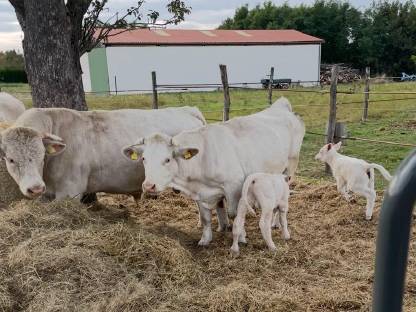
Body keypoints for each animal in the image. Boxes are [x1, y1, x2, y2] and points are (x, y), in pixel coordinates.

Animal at [123, 97, 306, 246]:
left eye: (167, 159)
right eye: (144, 158)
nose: (149, 186)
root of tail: (281, 107)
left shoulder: (234, 187)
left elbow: (234, 214)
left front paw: (241, 237)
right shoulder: (200, 193)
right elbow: (205, 218)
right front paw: (205, 240)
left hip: (290, 168)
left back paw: (276, 223)